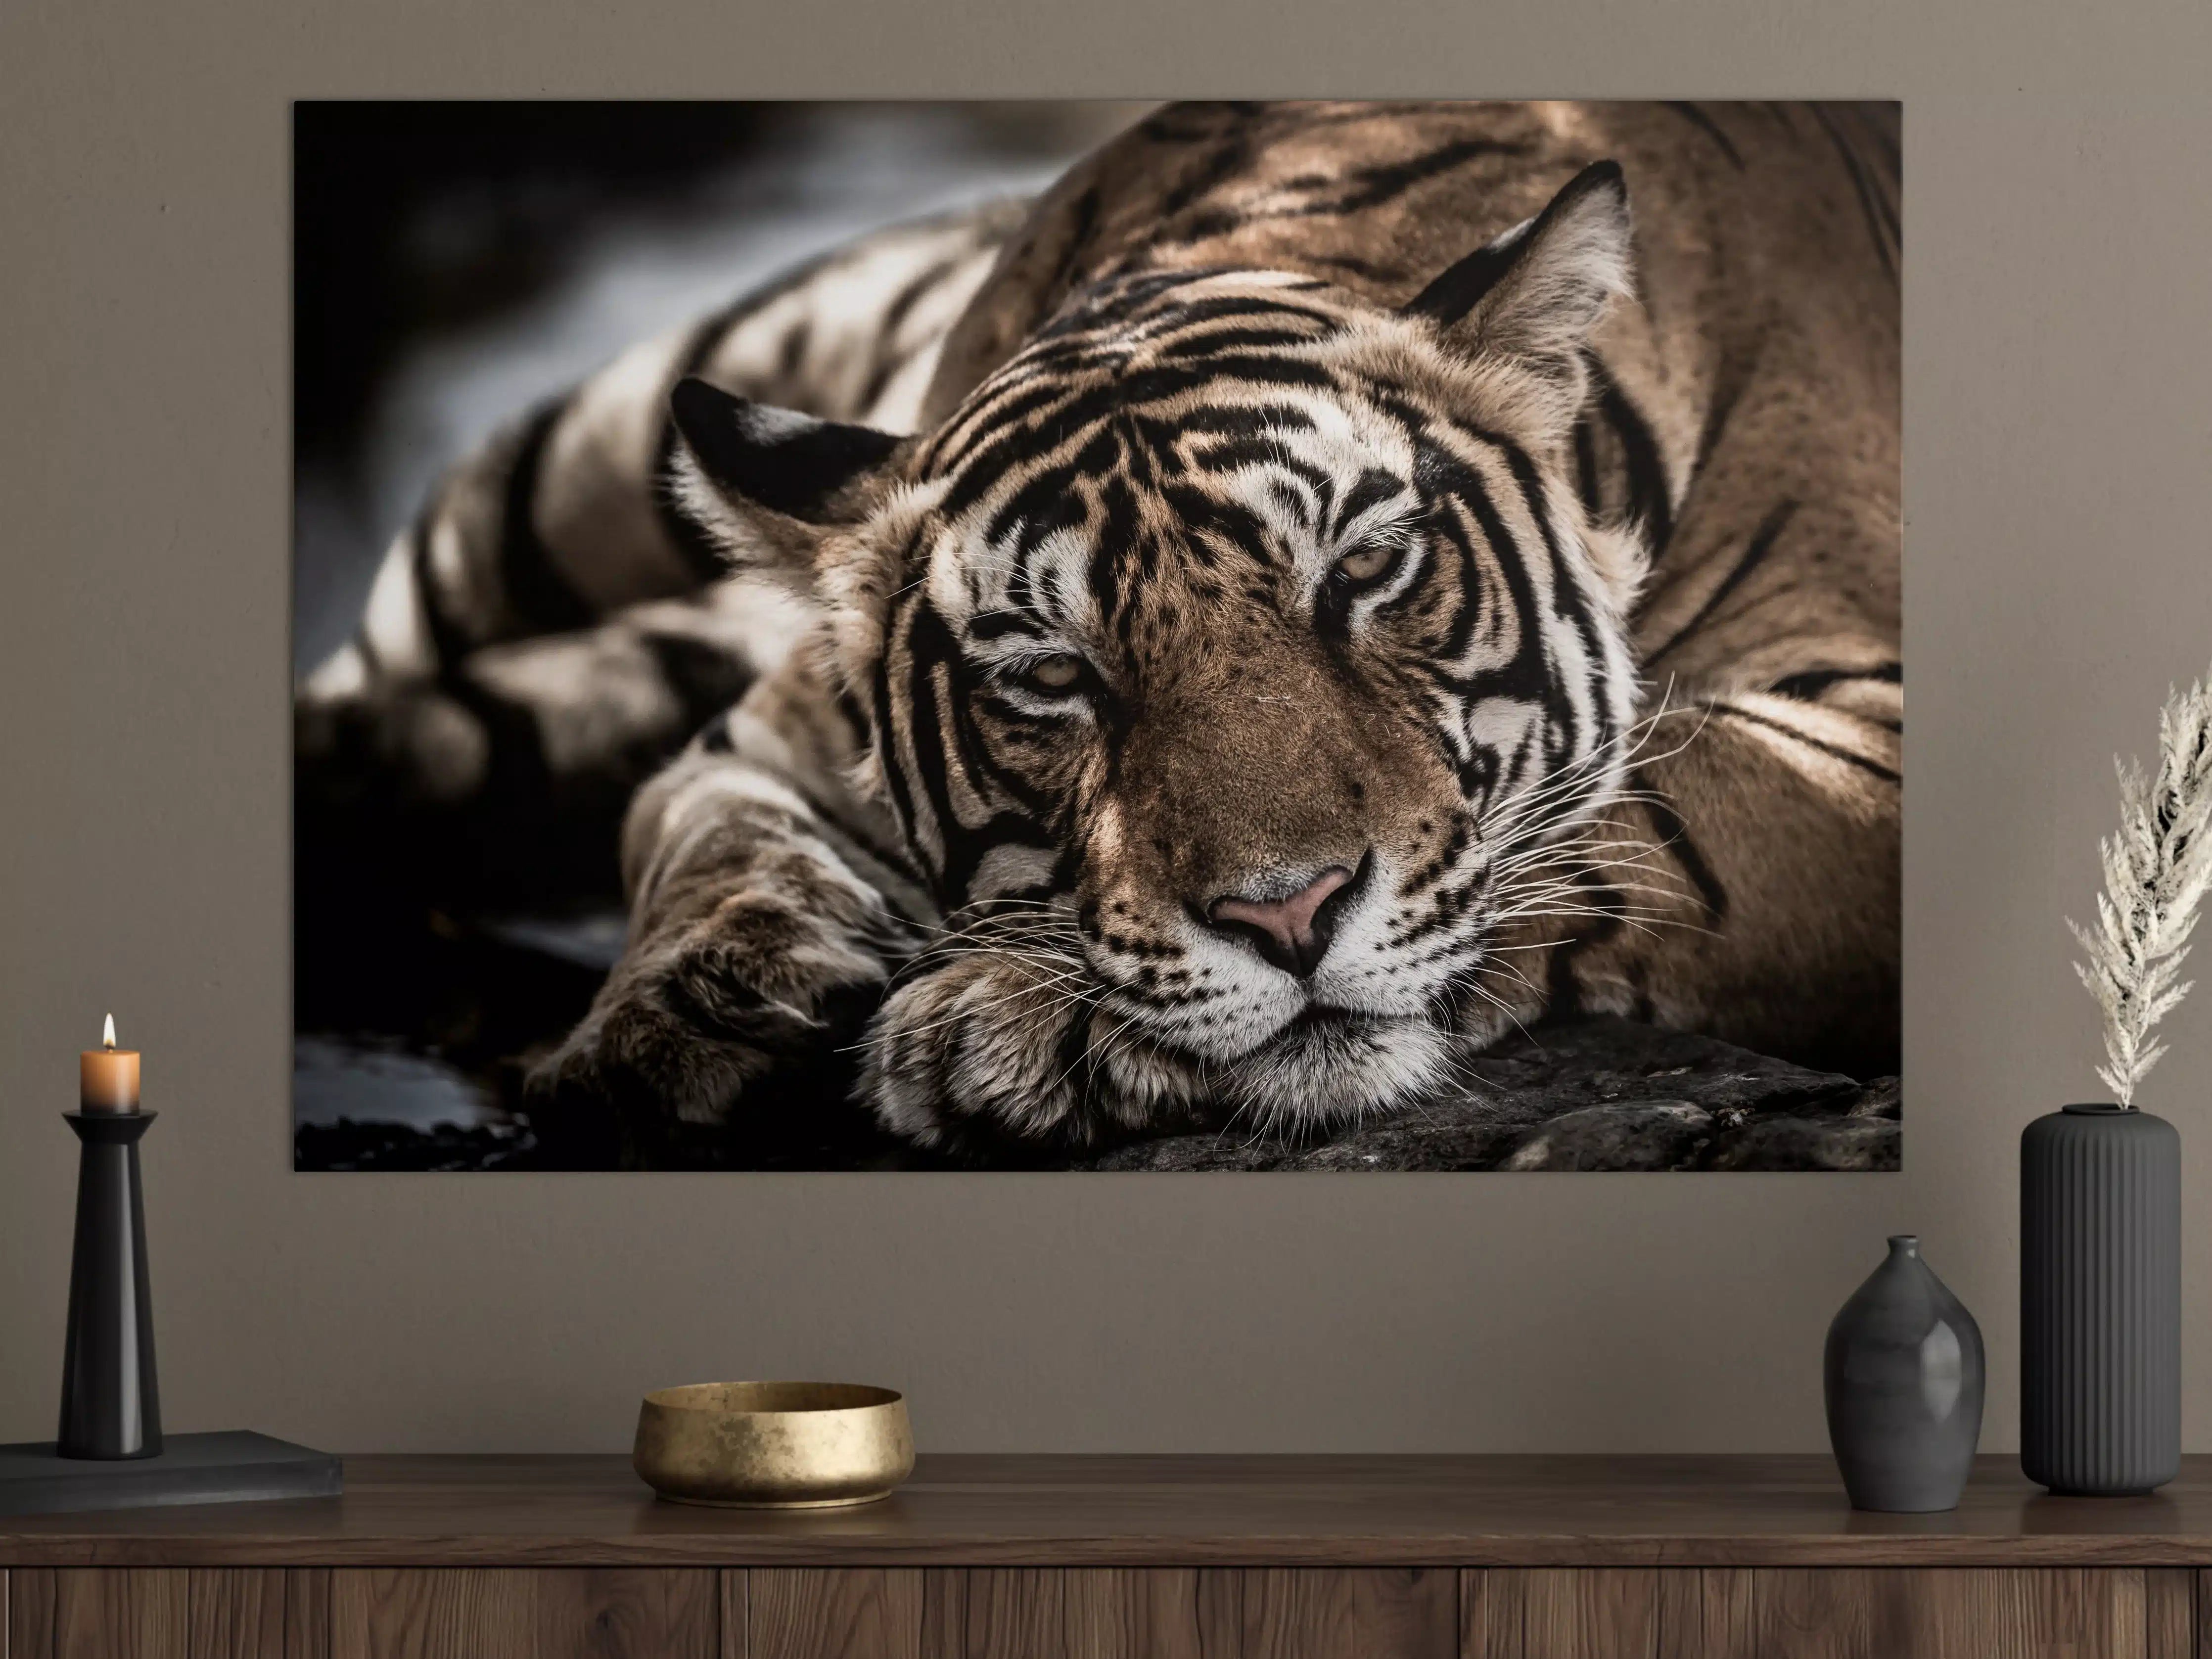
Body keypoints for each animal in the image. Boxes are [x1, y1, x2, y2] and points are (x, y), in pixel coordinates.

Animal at [298, 100, 1901, 1164]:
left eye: (1367, 568)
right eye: (1050, 675)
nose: (1286, 917)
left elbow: (1642, 814)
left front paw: (1019, 1020)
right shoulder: (761, 732)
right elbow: (695, 832)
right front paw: (673, 1017)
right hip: (563, 470)